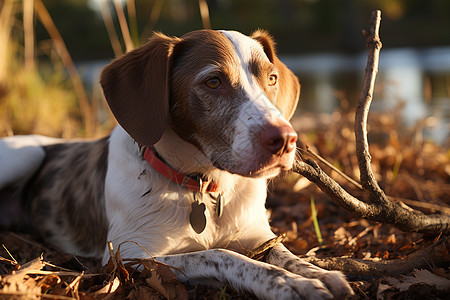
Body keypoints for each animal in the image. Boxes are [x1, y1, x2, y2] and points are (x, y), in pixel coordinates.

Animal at [0, 29, 354, 298]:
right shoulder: (129, 255)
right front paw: (289, 284)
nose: (285, 139)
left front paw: (318, 273)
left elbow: (285, 254)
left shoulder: (258, 236)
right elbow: (222, 255)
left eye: (272, 79)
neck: (204, 186)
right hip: (25, 155)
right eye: (213, 82)